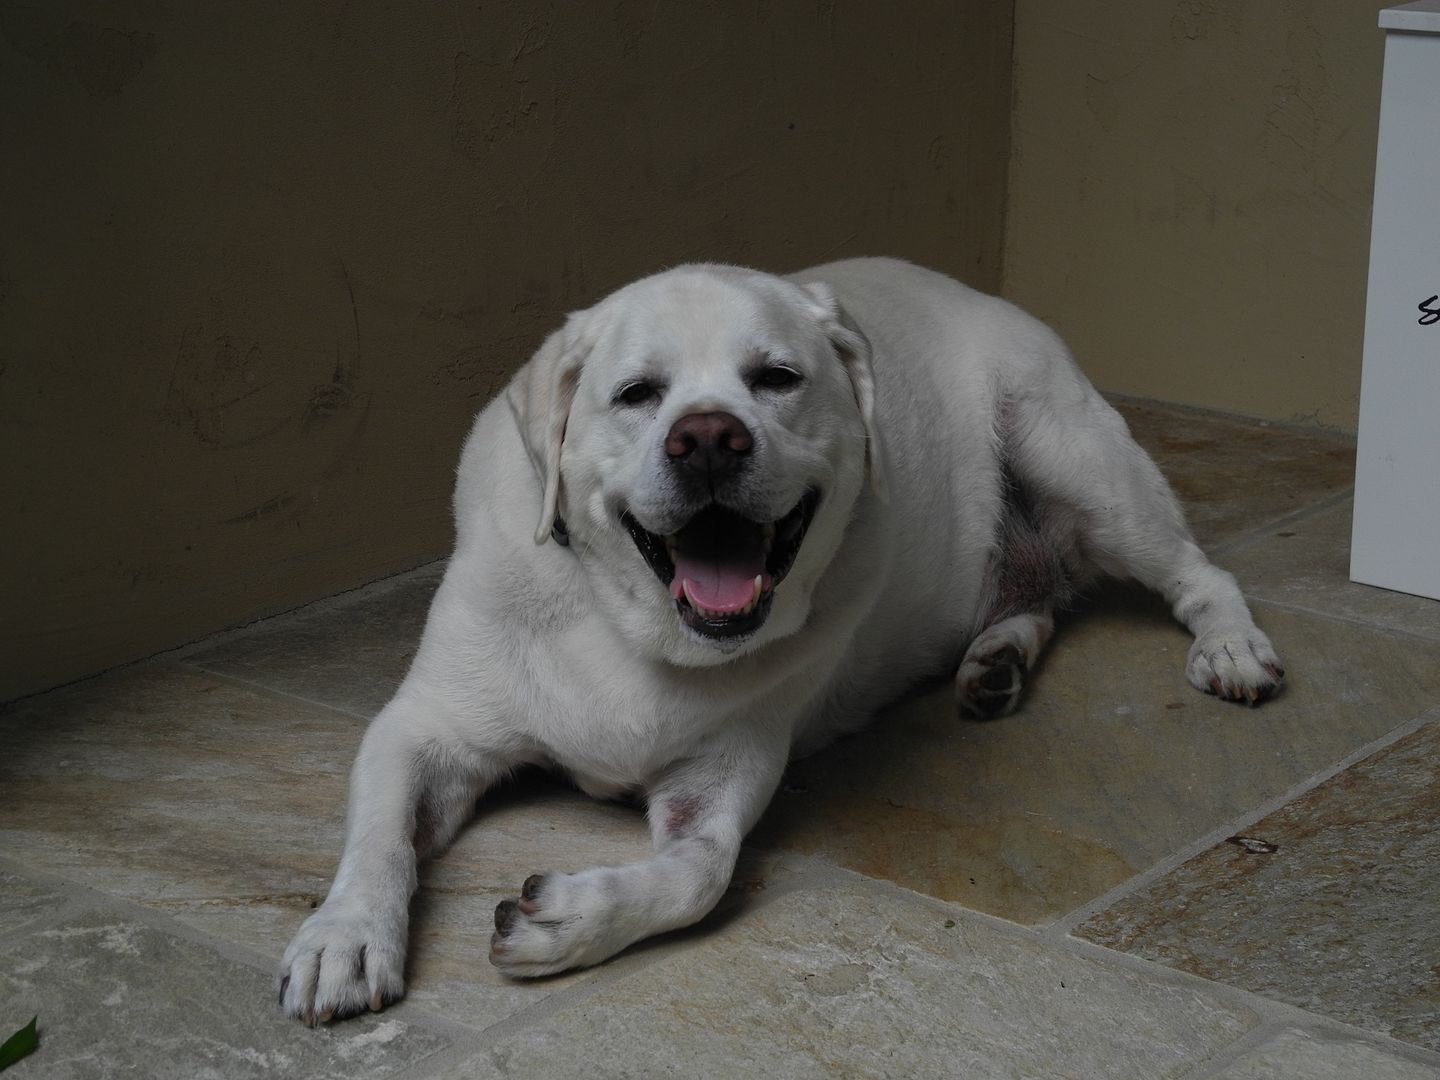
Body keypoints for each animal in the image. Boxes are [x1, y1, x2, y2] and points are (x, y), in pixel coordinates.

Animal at [277, 257, 1284, 1025]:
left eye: (777, 378)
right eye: (636, 395)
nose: (708, 439)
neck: (627, 621)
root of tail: (981, 290)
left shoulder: (726, 770)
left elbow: (700, 873)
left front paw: (569, 919)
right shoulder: (422, 728)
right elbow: (380, 839)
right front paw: (345, 937)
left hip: (1079, 465)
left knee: (1199, 573)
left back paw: (1232, 649)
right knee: (1036, 594)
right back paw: (994, 664)